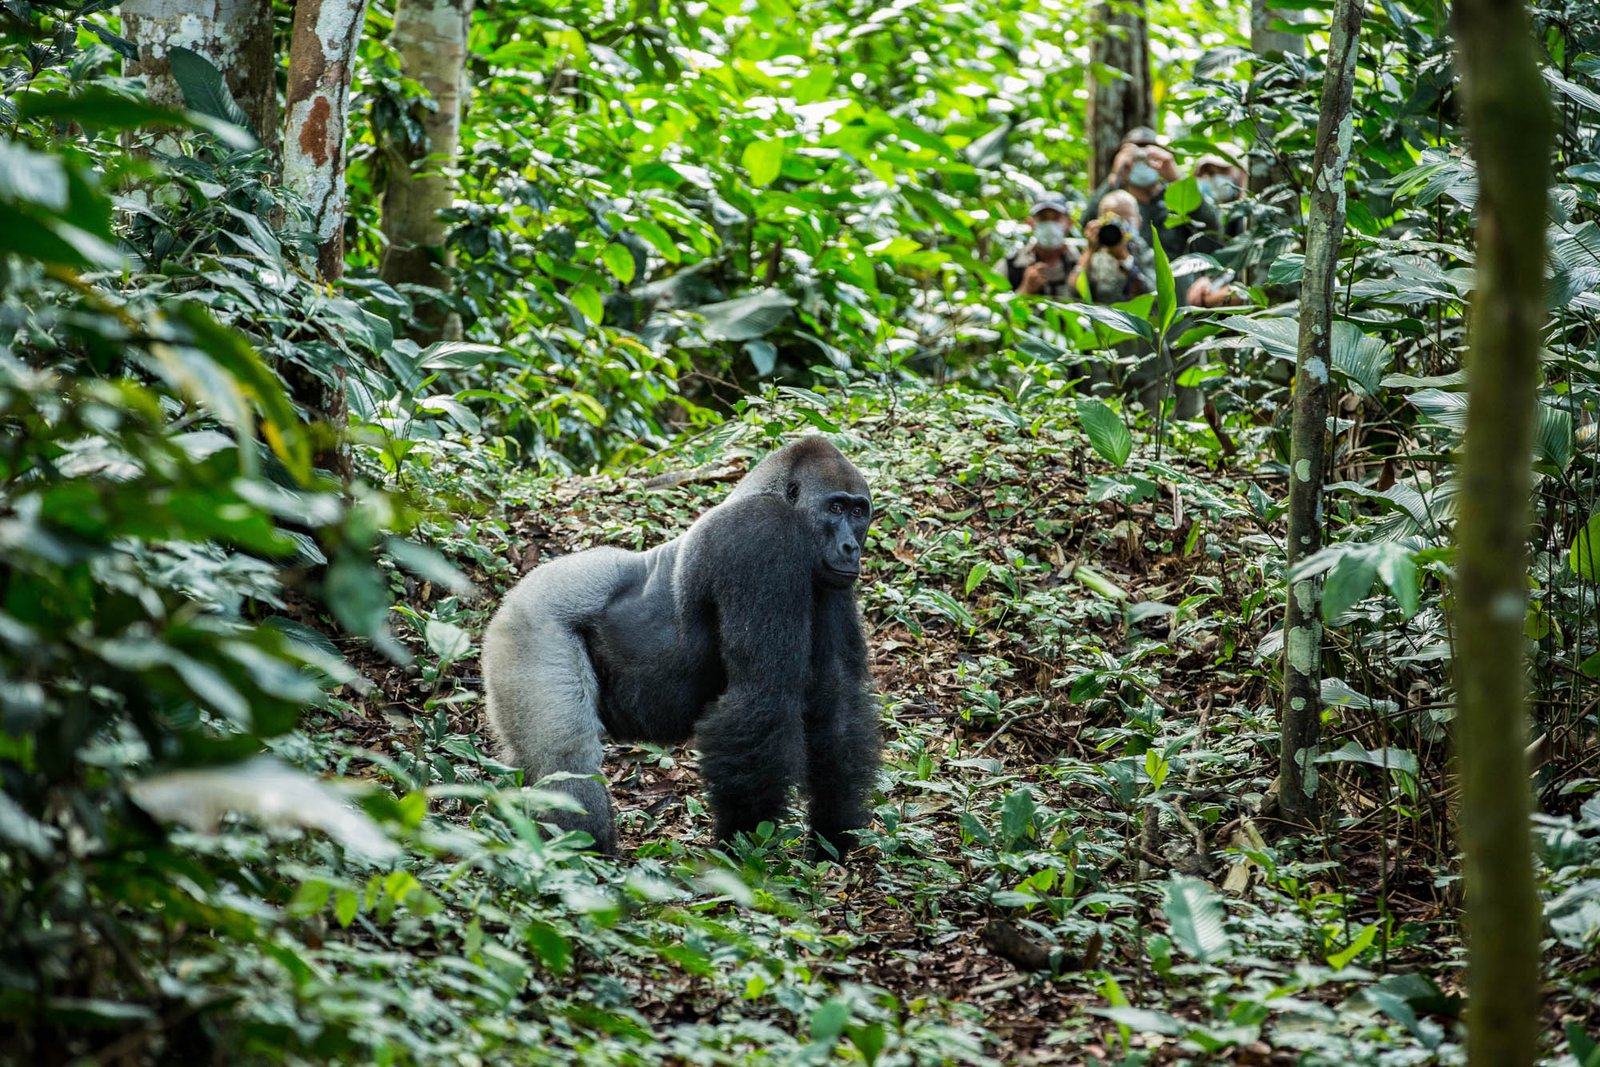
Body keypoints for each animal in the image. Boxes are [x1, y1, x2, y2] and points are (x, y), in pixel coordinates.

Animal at [481, 436, 881, 857]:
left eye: (859, 511)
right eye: (835, 508)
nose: (850, 548)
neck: (768, 493)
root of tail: (513, 595)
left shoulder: (829, 581)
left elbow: (836, 700)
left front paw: (833, 834)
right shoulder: (762, 537)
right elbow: (762, 696)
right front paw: (743, 845)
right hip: (530, 624)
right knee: (565, 758)